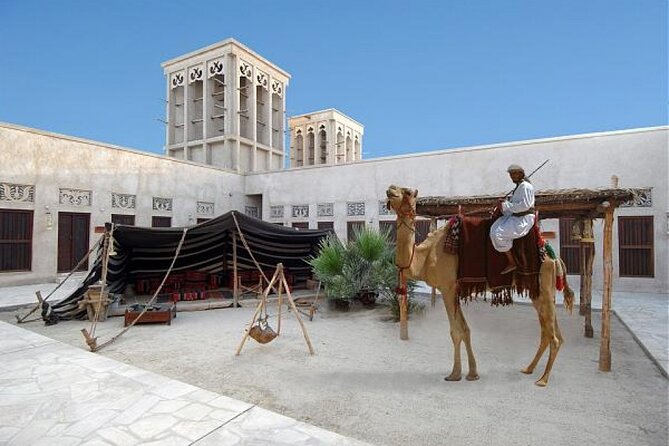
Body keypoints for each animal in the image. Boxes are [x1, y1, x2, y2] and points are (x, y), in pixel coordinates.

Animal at [386, 185, 576, 386]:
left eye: (407, 192)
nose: (390, 189)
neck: (426, 255)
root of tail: (554, 257)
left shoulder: (447, 287)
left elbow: (455, 332)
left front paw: (454, 374)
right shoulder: (453, 291)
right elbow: (465, 330)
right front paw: (472, 373)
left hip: (544, 286)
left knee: (553, 336)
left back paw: (543, 379)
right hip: (539, 292)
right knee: (549, 332)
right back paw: (529, 369)